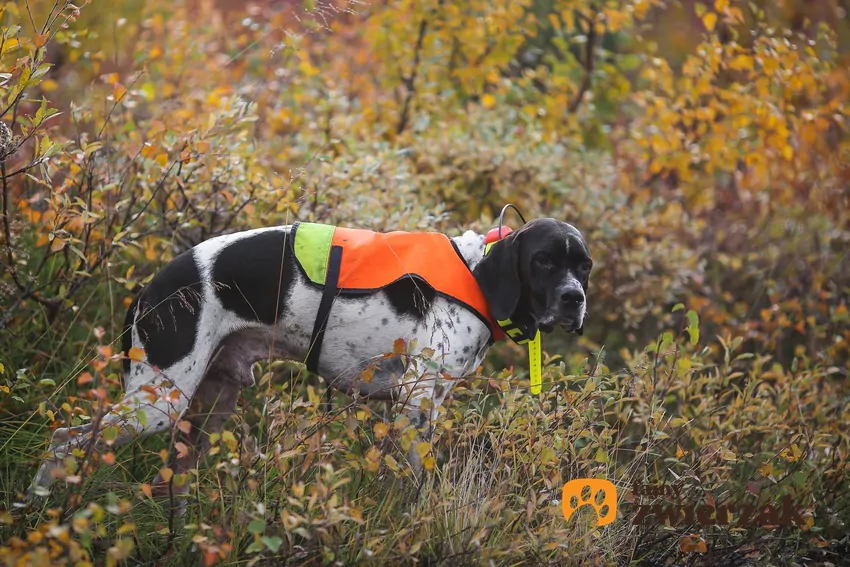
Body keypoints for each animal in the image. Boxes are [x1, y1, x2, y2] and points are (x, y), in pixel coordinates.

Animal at [31, 217, 588, 502]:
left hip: (210, 406)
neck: (476, 272)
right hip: (158, 402)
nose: (575, 299)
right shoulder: (416, 403)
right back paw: (35, 505)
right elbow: (419, 483)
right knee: (63, 441)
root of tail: (154, 286)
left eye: (583, 266)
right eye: (543, 261)